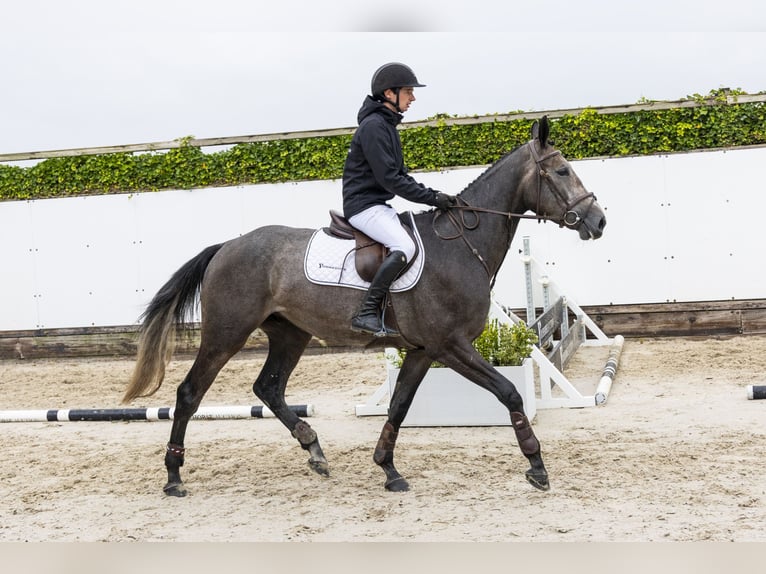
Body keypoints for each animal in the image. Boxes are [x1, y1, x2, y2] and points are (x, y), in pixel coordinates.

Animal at [123, 116, 606, 496]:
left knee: (269, 388)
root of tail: (226, 246)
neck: (460, 246)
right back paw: (173, 476)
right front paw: (537, 466)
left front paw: (388, 469)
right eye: (562, 171)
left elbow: (399, 407)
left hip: (290, 332)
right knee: (189, 394)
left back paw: (314, 449)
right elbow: (508, 393)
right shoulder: (450, 346)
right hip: (227, 333)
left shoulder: (423, 350)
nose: (598, 221)